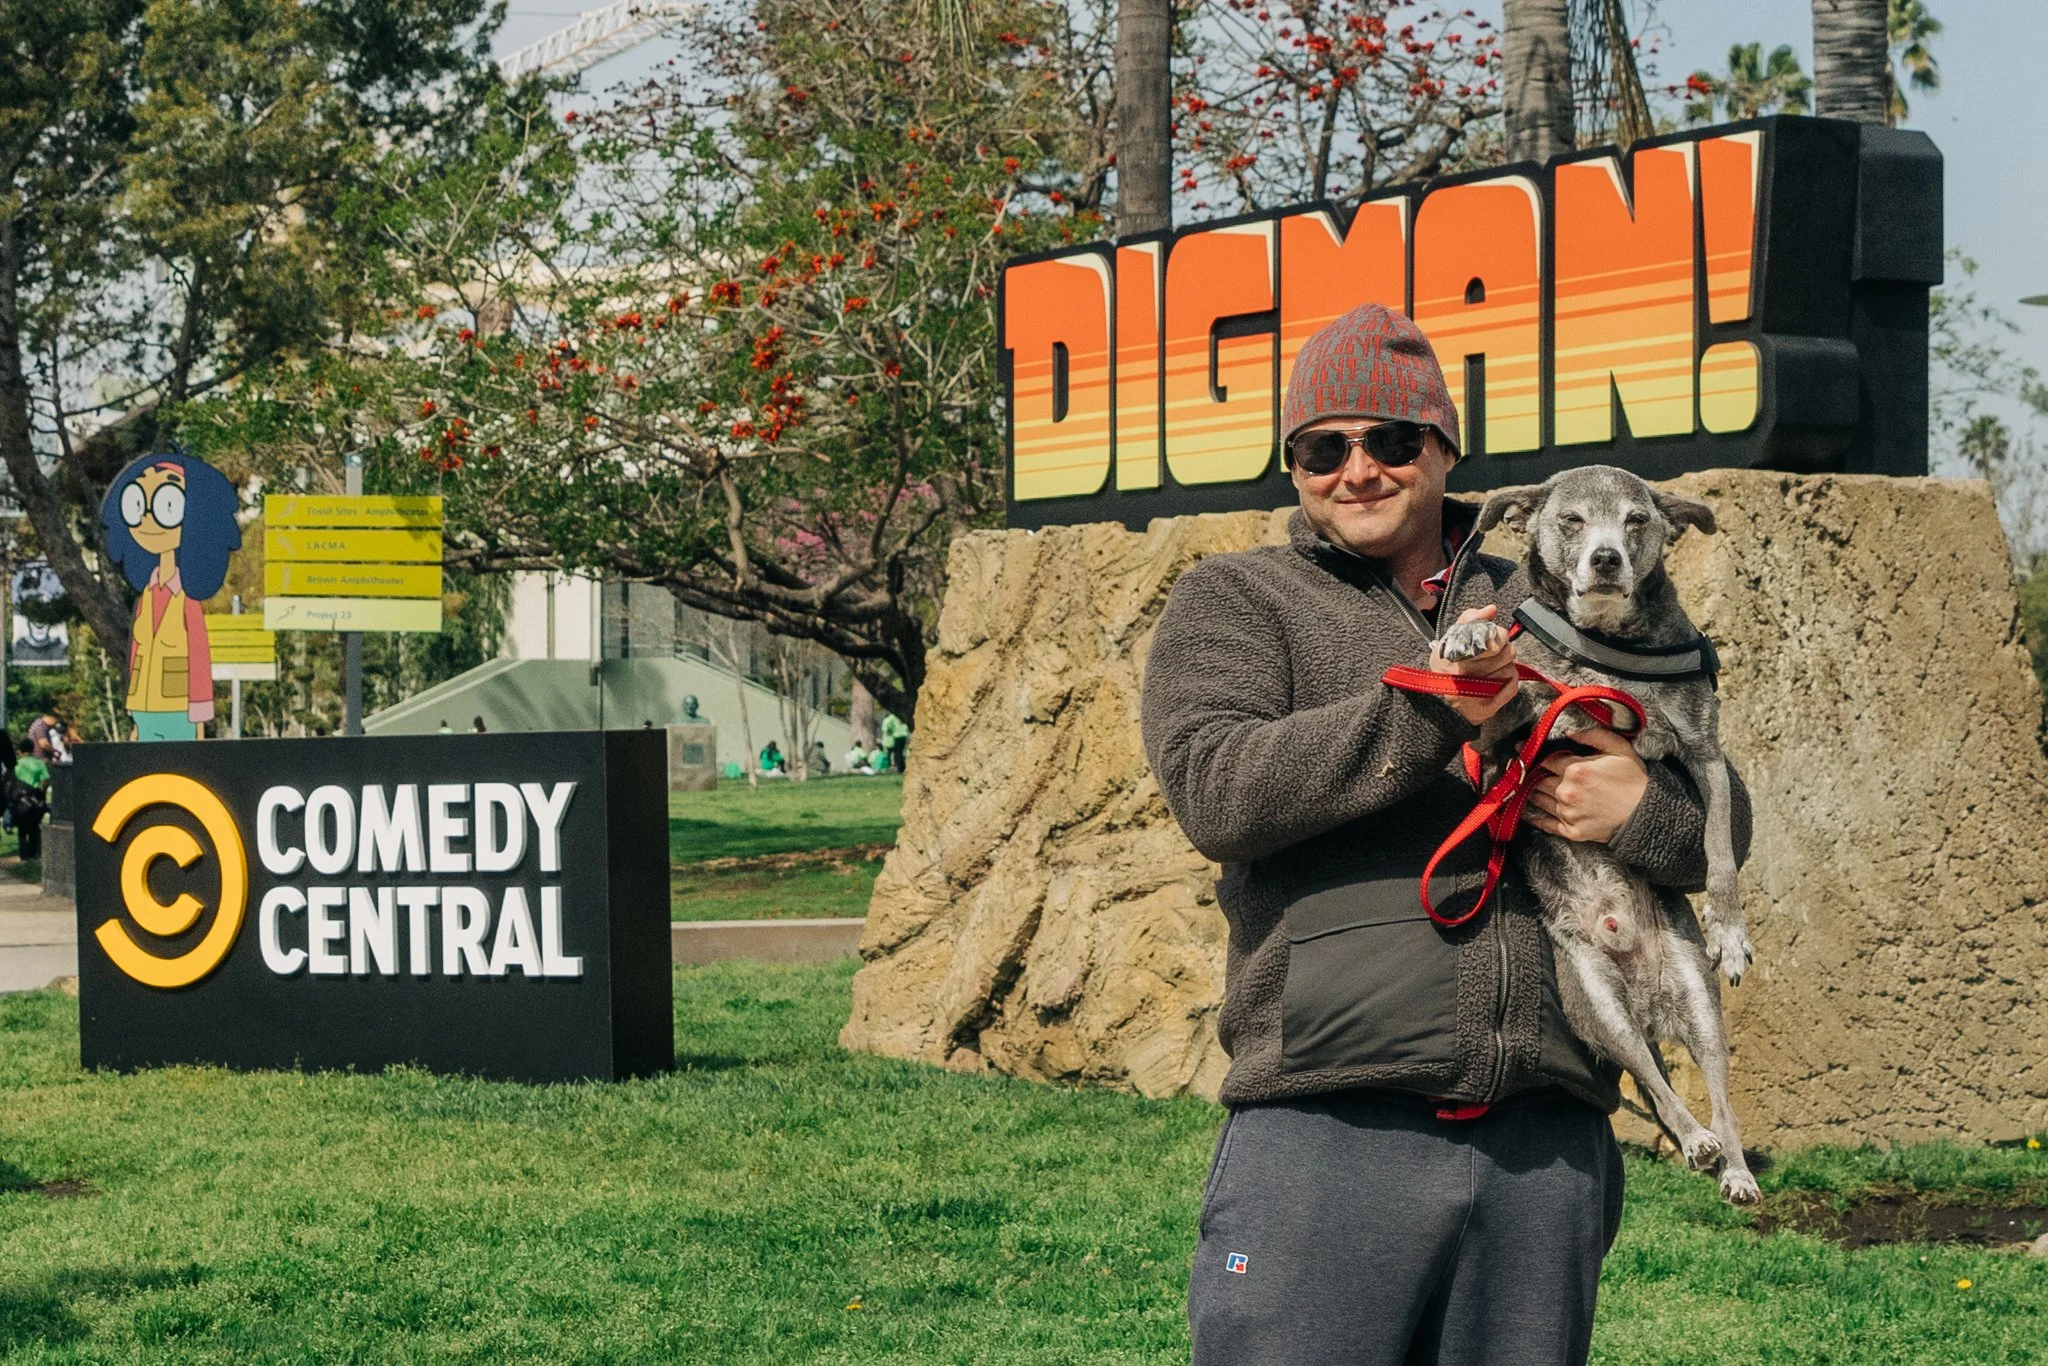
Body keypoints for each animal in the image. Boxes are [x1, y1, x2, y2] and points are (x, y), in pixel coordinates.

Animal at [1439, 465, 1758, 1205]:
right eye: (1573, 521)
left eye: (1637, 520)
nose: (1607, 559)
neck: (1607, 651)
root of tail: (1647, 1004)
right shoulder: (1503, 745)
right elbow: (1497, 704)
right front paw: (1470, 642)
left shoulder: (1705, 754)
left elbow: (1720, 852)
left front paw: (1730, 931)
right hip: (1595, 1002)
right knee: (1649, 1075)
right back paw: (1694, 1141)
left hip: (1698, 1006)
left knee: (1716, 1095)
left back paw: (1731, 1165)